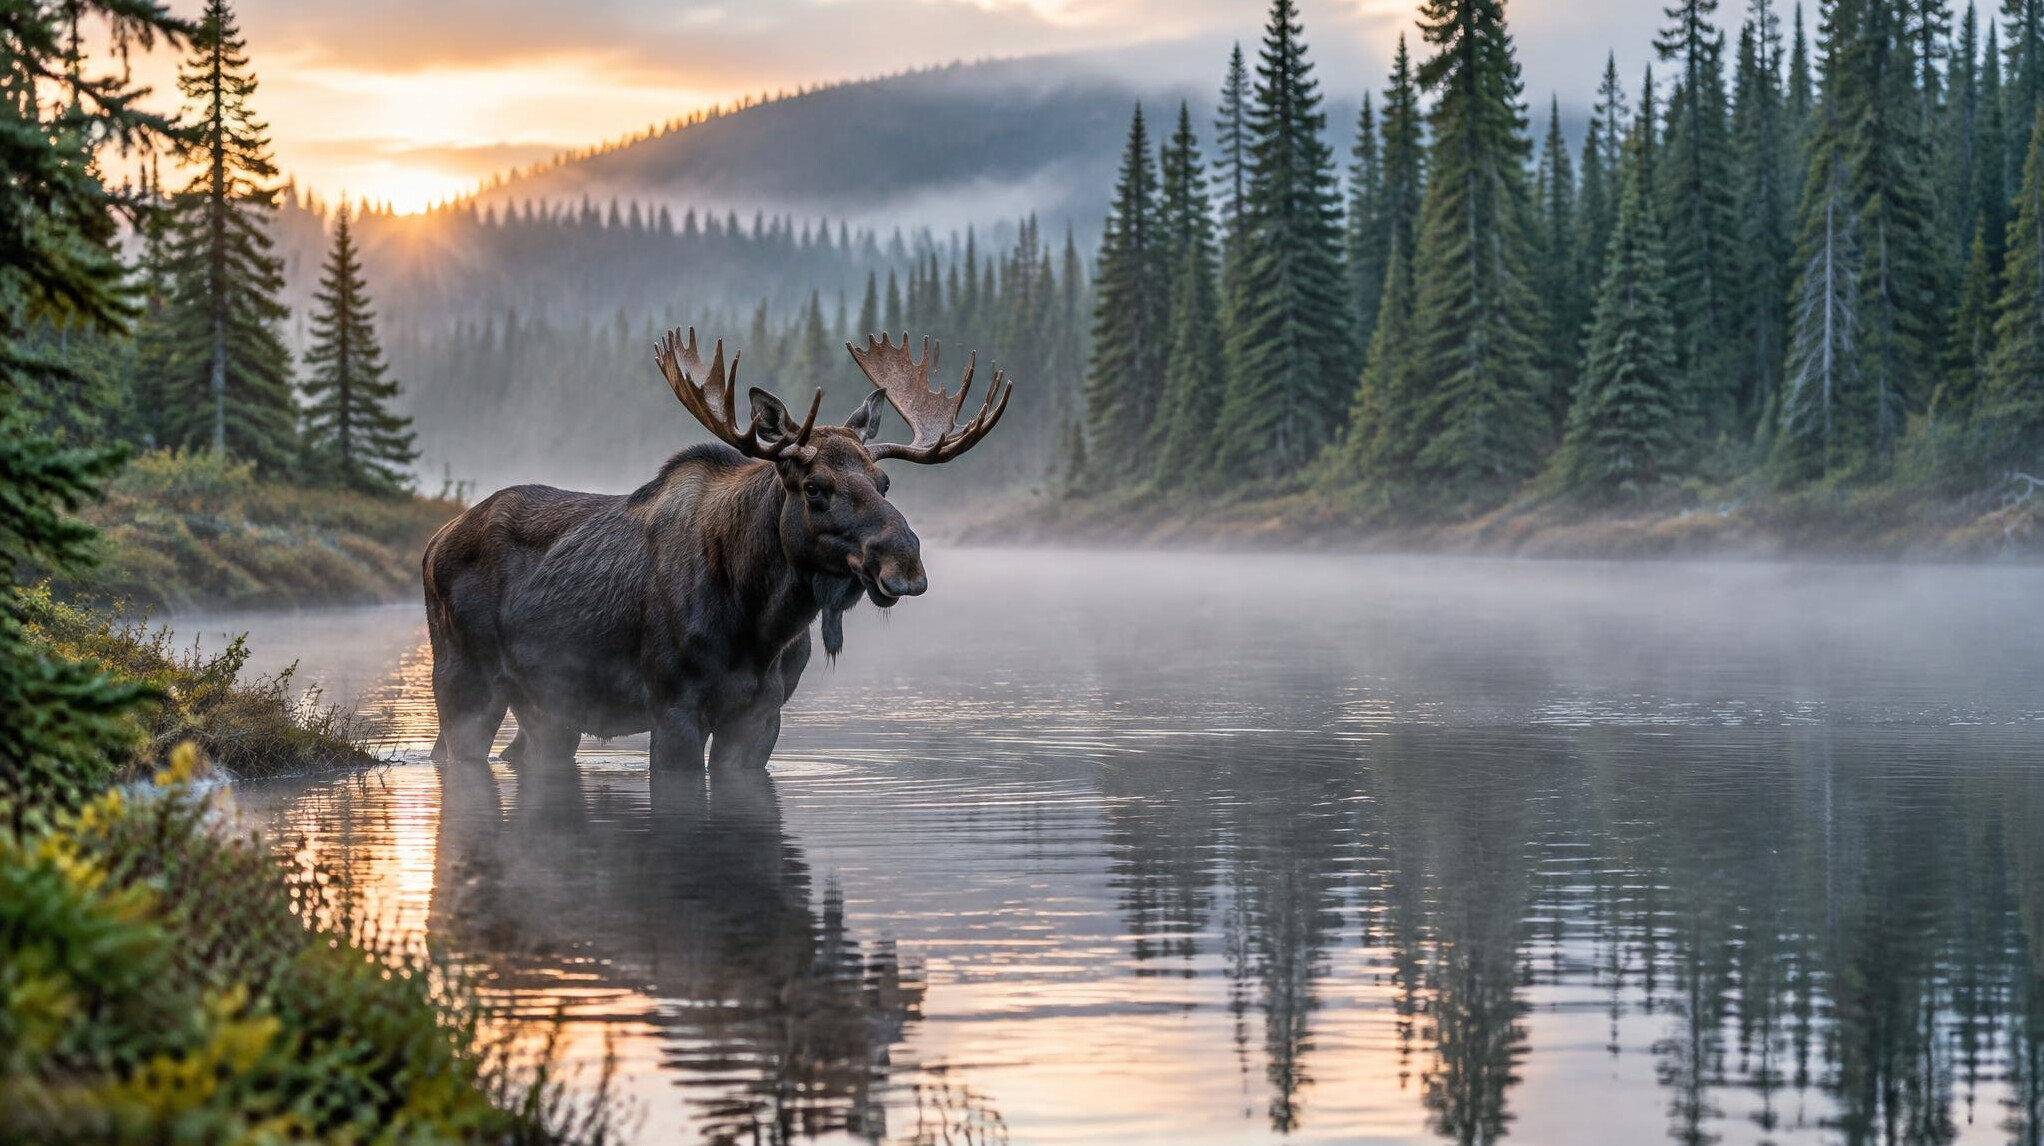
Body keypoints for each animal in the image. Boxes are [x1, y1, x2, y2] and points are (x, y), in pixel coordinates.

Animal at [422, 328, 1010, 770]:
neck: (762, 621)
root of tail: (432, 543)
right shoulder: (672, 708)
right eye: (814, 487)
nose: (904, 563)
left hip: (547, 707)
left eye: (884, 482)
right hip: (463, 682)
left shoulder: (761, 718)